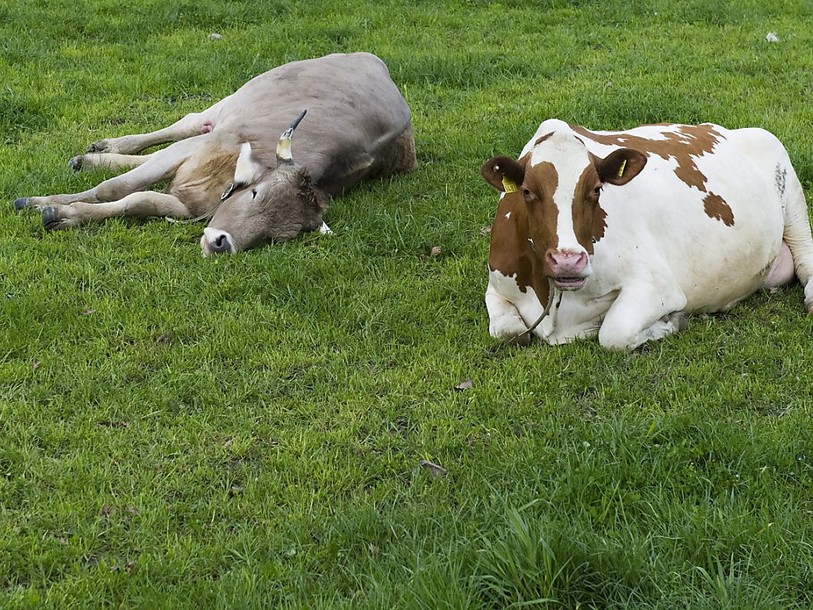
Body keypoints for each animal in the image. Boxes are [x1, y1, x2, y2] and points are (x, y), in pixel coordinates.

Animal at [14, 52, 417, 255]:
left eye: (279, 235)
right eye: (255, 194)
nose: (223, 244)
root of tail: (370, 58)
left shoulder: (188, 202)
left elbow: (139, 201)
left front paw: (65, 215)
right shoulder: (197, 150)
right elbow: (116, 188)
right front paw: (42, 202)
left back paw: (95, 157)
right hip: (228, 102)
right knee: (187, 123)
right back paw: (105, 149)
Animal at [481, 119, 813, 350]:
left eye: (596, 189)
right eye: (527, 191)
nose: (568, 261)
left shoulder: (658, 286)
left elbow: (614, 333)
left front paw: (671, 322)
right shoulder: (496, 283)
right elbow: (508, 333)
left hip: (789, 187)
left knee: (805, 257)